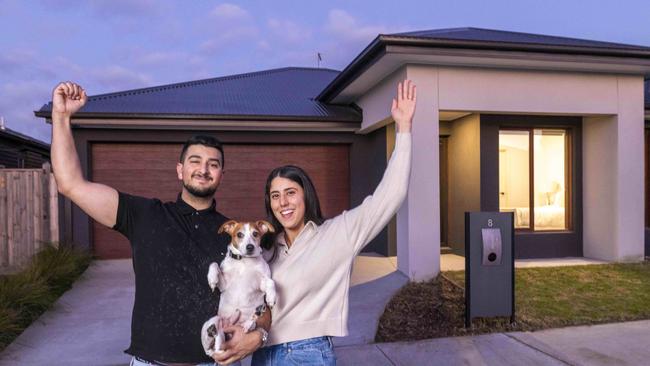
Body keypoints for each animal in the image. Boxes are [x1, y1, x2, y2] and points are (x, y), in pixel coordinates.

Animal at [200, 220, 276, 358]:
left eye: (255, 234)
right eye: (240, 234)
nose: (250, 247)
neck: (244, 261)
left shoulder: (261, 282)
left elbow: (271, 282)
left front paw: (271, 297)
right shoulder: (224, 285)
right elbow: (214, 264)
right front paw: (212, 278)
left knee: (252, 324)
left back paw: (251, 320)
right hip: (213, 321)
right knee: (211, 346)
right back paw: (212, 332)